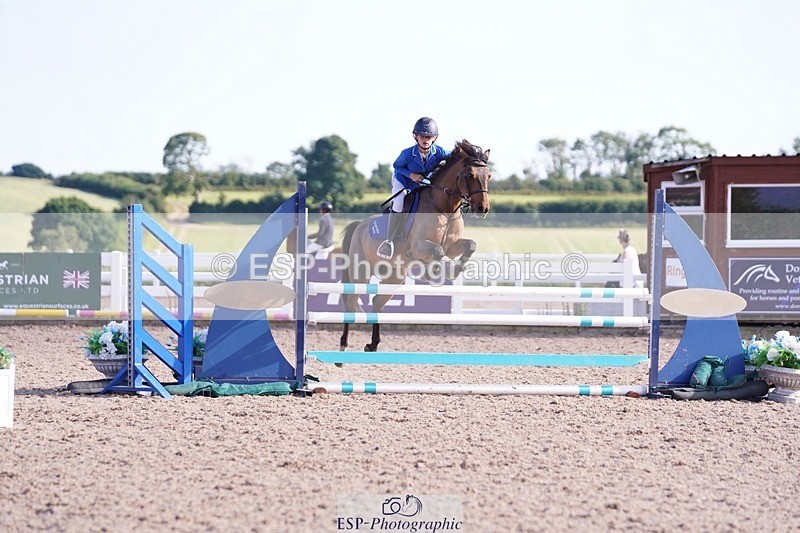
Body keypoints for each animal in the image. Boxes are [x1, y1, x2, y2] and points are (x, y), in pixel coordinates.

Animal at [339, 139, 492, 352]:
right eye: (470, 175)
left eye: (489, 176)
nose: (482, 209)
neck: (444, 208)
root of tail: (359, 225)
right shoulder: (420, 246)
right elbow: (438, 251)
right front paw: (434, 272)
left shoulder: (453, 247)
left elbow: (470, 245)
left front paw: (453, 271)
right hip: (361, 272)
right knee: (351, 302)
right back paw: (343, 345)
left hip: (394, 276)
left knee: (377, 302)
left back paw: (373, 344)